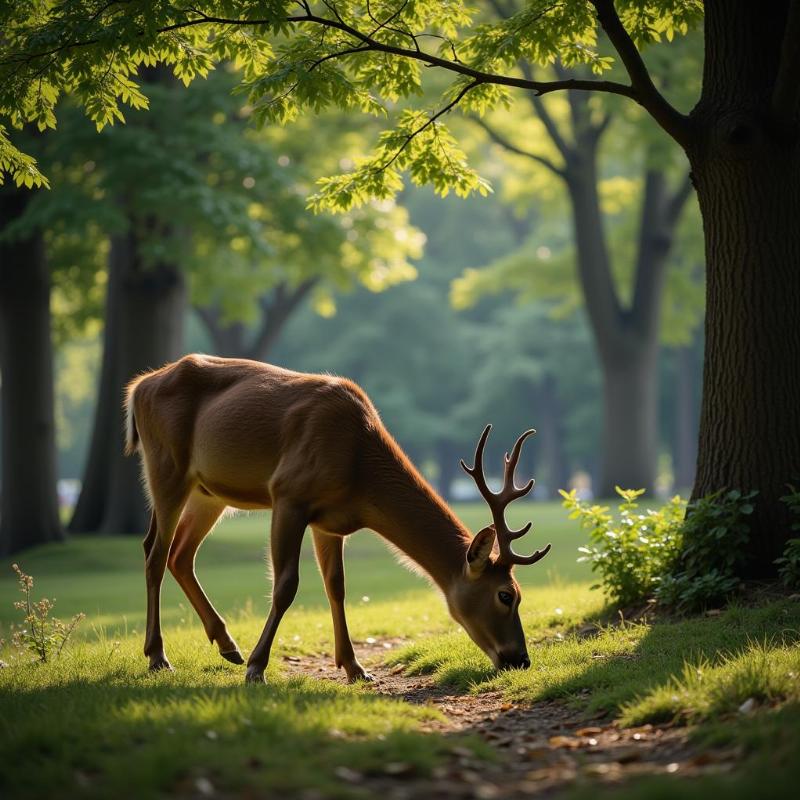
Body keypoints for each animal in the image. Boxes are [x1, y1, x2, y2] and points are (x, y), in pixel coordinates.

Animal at [125, 354, 552, 680]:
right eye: (506, 594)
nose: (521, 659)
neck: (358, 472)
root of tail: (138, 387)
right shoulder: (289, 493)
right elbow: (286, 586)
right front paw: (258, 667)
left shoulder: (330, 522)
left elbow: (337, 586)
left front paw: (354, 667)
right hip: (166, 466)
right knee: (155, 555)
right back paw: (159, 656)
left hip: (207, 493)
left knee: (178, 554)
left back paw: (228, 646)